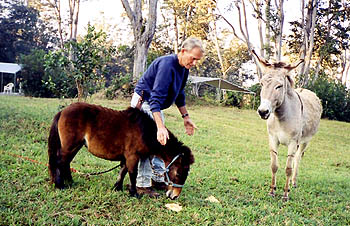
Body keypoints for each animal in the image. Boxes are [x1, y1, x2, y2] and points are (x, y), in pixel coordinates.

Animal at [47, 102, 194, 200]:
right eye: (179, 173)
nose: (174, 196)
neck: (144, 131)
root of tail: (63, 111)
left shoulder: (126, 157)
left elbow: (123, 171)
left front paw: (117, 188)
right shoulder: (132, 156)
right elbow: (132, 174)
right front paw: (134, 193)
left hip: (75, 147)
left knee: (66, 163)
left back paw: (70, 182)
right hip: (70, 146)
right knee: (59, 162)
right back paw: (60, 185)